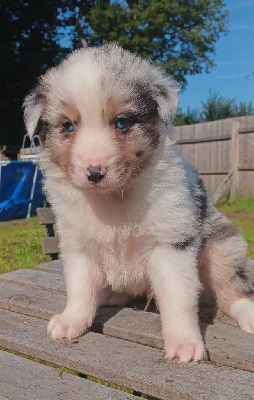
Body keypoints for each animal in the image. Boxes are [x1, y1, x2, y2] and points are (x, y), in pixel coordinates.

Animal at [22, 44, 253, 362]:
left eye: (122, 123)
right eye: (67, 126)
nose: (94, 172)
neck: (114, 198)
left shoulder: (171, 243)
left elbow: (177, 297)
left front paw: (184, 342)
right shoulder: (79, 244)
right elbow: (80, 287)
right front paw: (71, 321)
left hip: (221, 248)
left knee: (232, 289)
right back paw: (109, 294)